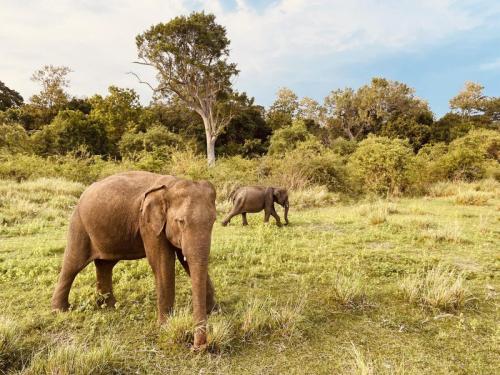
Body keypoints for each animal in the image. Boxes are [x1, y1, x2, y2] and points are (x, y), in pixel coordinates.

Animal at [51, 172, 218, 352]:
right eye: (181, 221)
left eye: (213, 221)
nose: (199, 347)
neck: (172, 184)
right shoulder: (148, 224)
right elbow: (162, 263)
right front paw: (165, 326)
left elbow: (185, 259)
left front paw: (215, 311)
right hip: (79, 224)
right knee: (72, 264)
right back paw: (60, 310)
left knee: (105, 264)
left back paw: (109, 306)